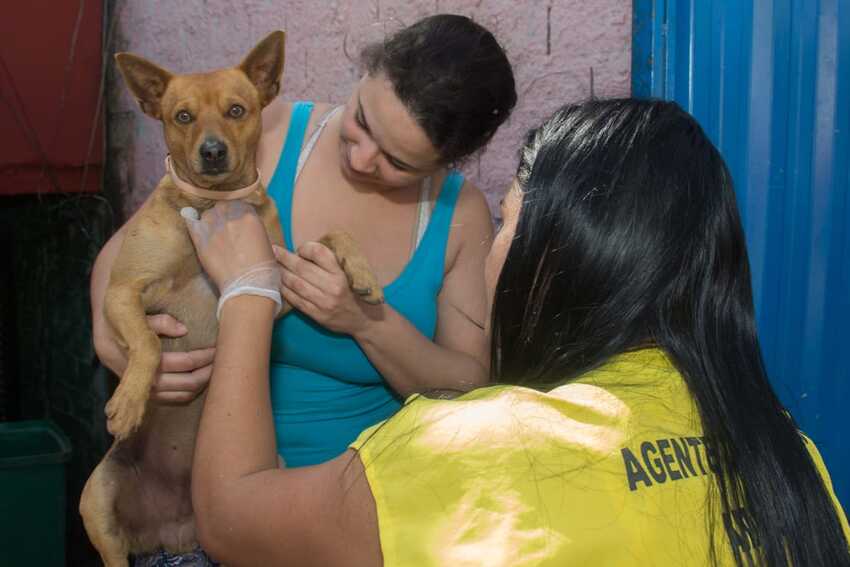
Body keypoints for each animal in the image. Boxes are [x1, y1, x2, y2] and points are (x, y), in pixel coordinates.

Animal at [82, 32, 380, 567]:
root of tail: (172, 532)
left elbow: (332, 234)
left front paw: (362, 272)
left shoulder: (275, 280)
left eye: (237, 110)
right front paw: (131, 400)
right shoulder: (121, 292)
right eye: (182, 116)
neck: (212, 204)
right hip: (97, 502)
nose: (213, 151)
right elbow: (148, 343)